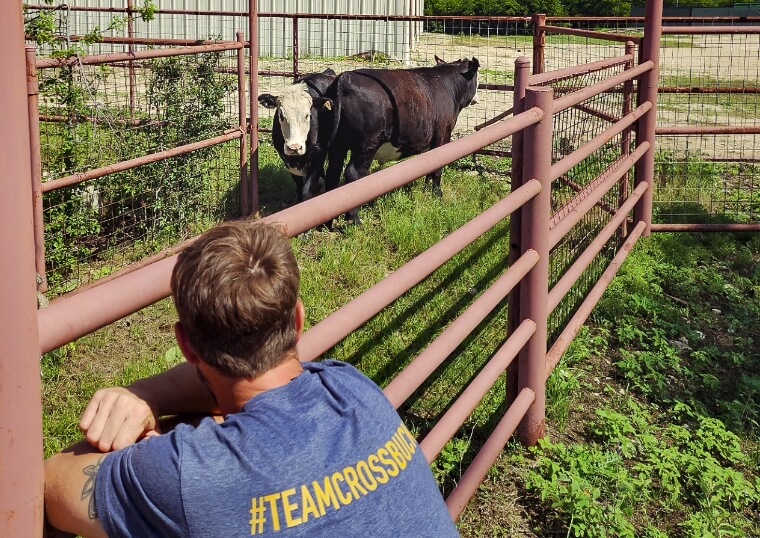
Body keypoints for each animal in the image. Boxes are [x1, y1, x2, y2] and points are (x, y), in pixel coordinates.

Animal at [258, 67, 336, 201]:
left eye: (307, 115)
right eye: (281, 115)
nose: (294, 147)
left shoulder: (318, 154)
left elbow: (307, 190)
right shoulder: (288, 160)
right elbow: (299, 188)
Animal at [322, 57, 480, 225]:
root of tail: (347, 77)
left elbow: (429, 168)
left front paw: (426, 192)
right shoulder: (442, 137)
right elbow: (437, 169)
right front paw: (437, 196)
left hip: (338, 145)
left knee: (333, 172)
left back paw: (329, 222)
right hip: (366, 145)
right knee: (354, 174)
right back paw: (354, 220)